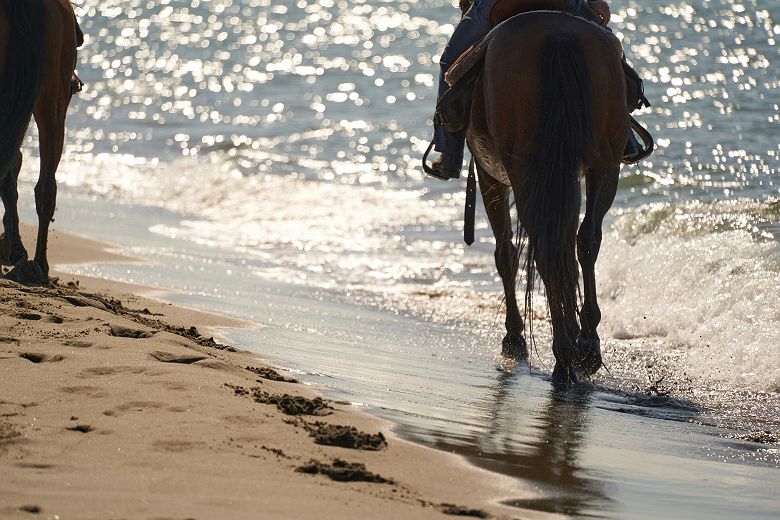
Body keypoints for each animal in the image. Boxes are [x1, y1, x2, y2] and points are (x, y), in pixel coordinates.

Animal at [466, 11, 629, 385]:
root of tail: (557, 34)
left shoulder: (489, 174)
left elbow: (505, 254)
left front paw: (513, 338)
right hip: (604, 165)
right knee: (583, 240)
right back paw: (586, 347)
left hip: (527, 171)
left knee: (545, 251)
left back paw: (564, 354)